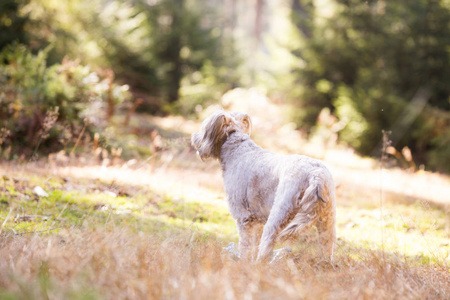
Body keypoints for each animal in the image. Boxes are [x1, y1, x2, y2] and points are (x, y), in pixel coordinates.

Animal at [192, 110, 336, 262]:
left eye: (203, 128)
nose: (194, 137)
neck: (236, 145)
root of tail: (316, 175)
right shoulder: (257, 220)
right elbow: (254, 244)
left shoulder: (243, 218)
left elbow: (246, 245)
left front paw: (242, 261)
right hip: (327, 221)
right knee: (328, 244)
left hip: (279, 214)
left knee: (268, 241)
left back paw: (261, 263)